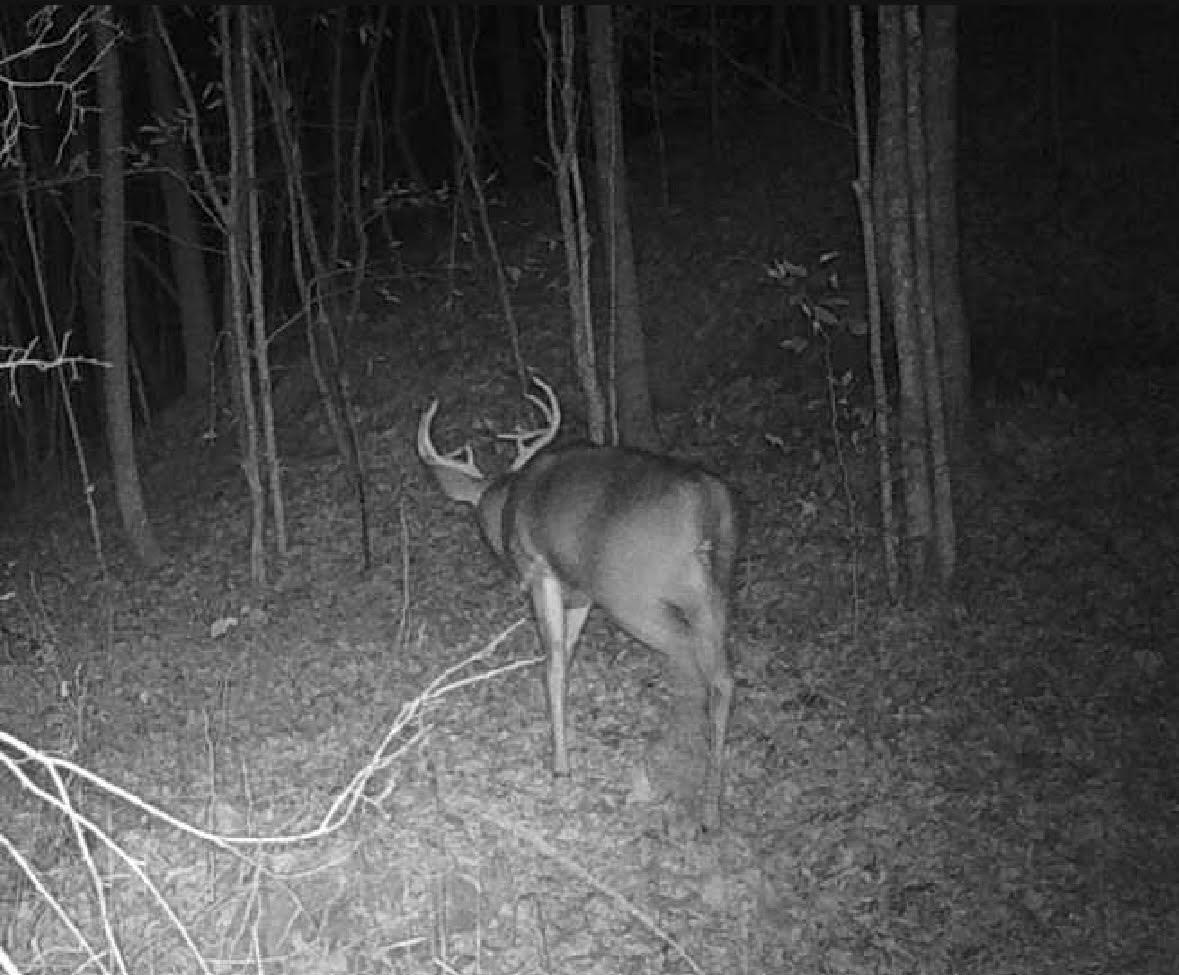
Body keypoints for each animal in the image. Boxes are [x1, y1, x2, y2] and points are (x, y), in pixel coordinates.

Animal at [417, 375, 735, 829]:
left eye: (477, 521)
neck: (509, 499)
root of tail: (706, 503)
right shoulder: (580, 593)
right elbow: (567, 655)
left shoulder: (541, 572)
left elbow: (552, 662)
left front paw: (560, 767)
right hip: (715, 591)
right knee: (723, 678)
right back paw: (711, 807)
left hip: (634, 595)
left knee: (689, 665)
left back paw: (670, 769)